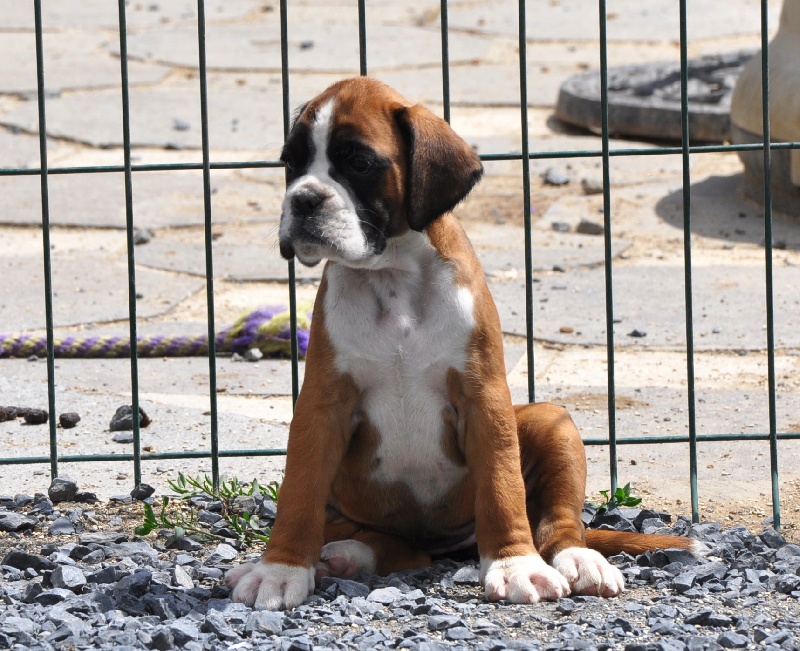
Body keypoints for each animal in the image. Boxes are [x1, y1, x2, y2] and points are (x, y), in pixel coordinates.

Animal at [225, 77, 696, 610]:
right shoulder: (321, 409)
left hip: (551, 423)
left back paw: (580, 561)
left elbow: (501, 487)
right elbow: (298, 493)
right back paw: (342, 556)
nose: (304, 199)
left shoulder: (483, 398)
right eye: (291, 163)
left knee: (558, 525)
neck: (393, 274)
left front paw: (515, 565)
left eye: (360, 162)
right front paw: (279, 570)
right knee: (388, 545)